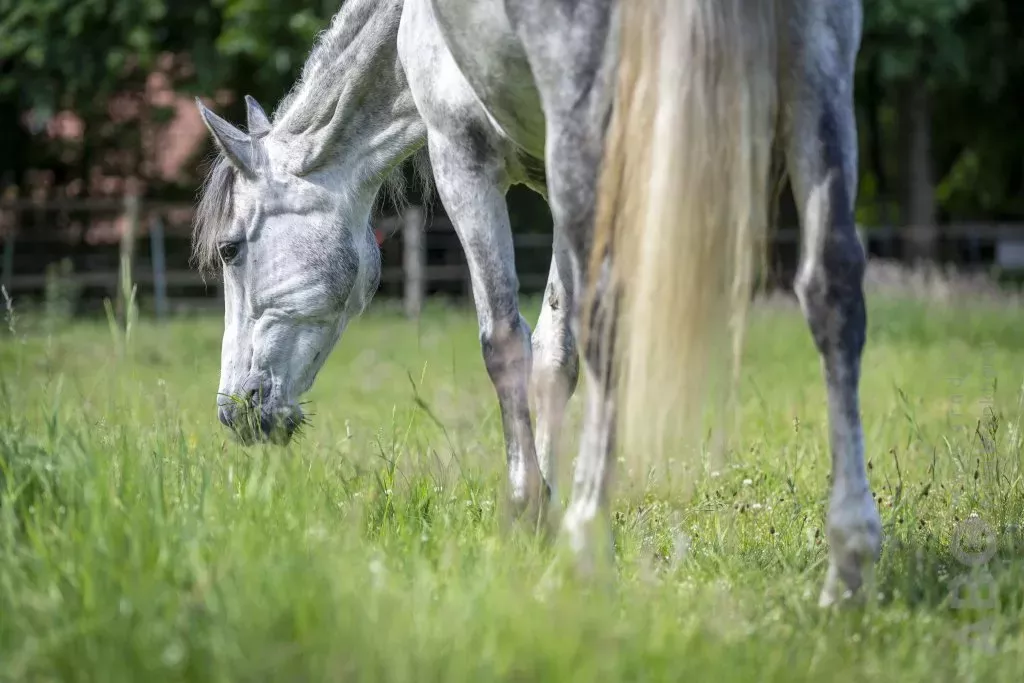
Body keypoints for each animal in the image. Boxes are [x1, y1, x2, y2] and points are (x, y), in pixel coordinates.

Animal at [192, 0, 880, 610]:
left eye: (229, 248)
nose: (233, 410)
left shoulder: (462, 158)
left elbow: (504, 343)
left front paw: (530, 512)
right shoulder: (551, 181)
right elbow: (554, 355)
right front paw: (547, 503)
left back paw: (585, 549)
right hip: (817, 83)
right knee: (832, 288)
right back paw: (847, 568)